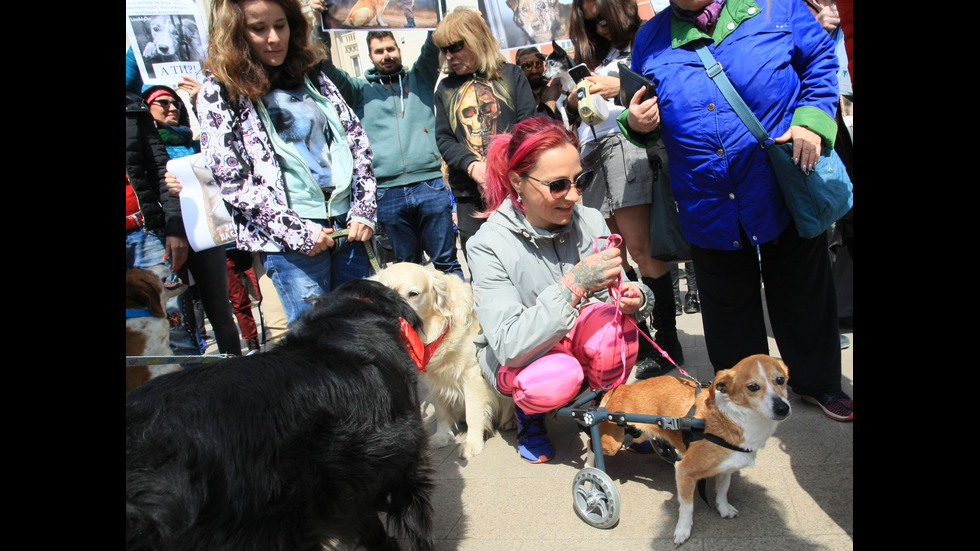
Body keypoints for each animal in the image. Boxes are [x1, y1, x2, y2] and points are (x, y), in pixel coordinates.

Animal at [372, 264, 516, 462]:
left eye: (413, 294)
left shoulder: (472, 376)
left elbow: (473, 413)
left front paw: (472, 444)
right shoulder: (434, 379)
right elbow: (441, 412)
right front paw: (442, 436)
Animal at [596, 356, 788, 544]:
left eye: (781, 380)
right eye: (752, 387)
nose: (783, 408)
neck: (732, 418)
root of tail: (621, 387)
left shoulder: (726, 467)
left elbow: (722, 490)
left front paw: (724, 508)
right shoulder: (684, 472)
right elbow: (687, 507)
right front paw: (683, 530)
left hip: (639, 434)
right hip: (611, 443)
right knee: (593, 446)